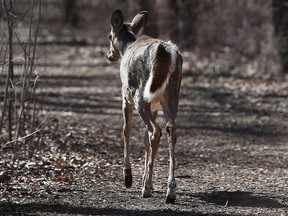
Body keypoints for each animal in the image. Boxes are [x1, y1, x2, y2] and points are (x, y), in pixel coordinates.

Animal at [106, 9, 182, 203]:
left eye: (109, 36)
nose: (109, 55)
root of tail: (164, 50)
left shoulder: (125, 96)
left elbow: (126, 130)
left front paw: (128, 177)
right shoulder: (154, 105)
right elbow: (144, 140)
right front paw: (148, 179)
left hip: (139, 94)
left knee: (155, 131)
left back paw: (146, 188)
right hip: (171, 93)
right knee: (170, 129)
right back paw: (170, 191)